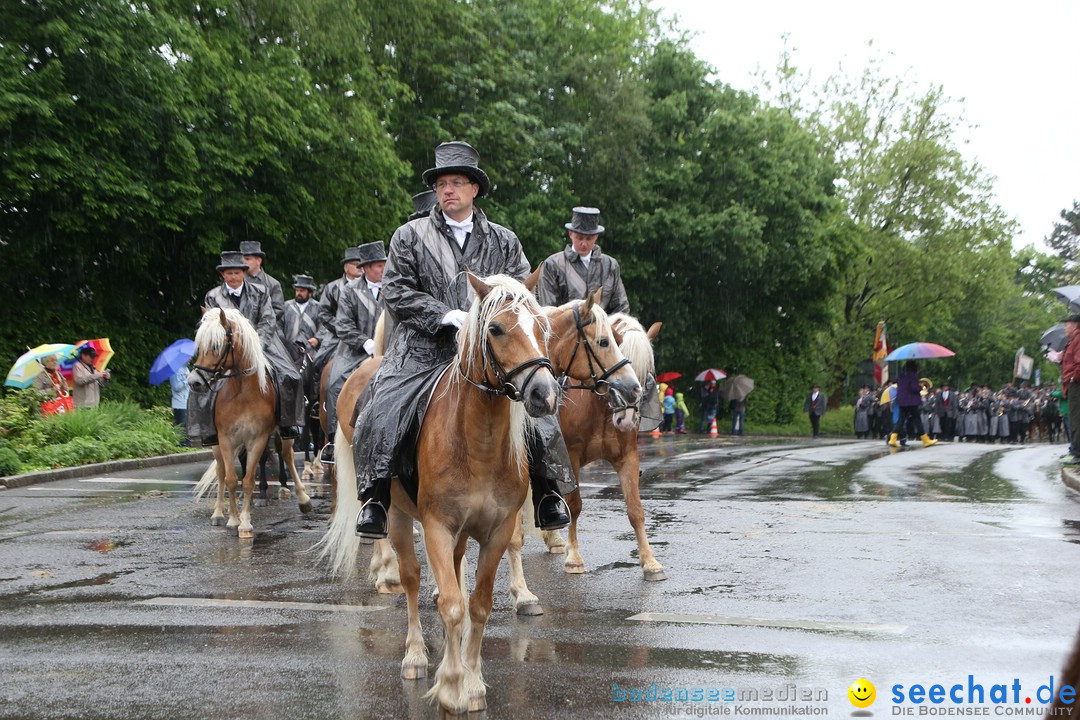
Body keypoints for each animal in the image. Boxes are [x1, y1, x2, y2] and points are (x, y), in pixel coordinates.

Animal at [190, 306, 313, 537]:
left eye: (216, 345)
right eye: (199, 345)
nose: (194, 382)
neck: (242, 393)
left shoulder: (258, 438)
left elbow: (247, 479)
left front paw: (245, 522)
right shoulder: (226, 438)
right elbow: (230, 478)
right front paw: (232, 518)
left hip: (284, 434)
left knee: (287, 456)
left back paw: (303, 498)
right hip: (217, 444)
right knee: (221, 471)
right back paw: (218, 513)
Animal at [313, 278, 635, 716]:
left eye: (542, 330)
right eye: (495, 329)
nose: (544, 394)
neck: (477, 441)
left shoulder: (496, 528)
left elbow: (478, 603)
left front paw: (473, 679)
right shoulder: (436, 526)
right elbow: (451, 605)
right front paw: (451, 686)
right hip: (398, 516)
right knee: (411, 576)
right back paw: (413, 649)